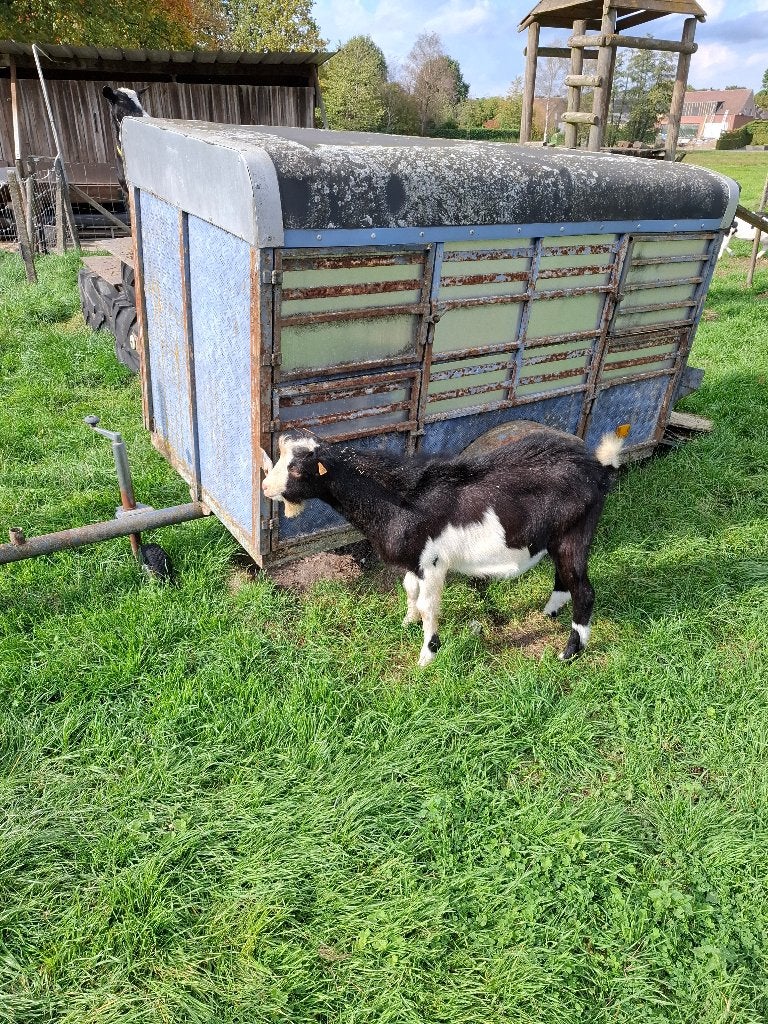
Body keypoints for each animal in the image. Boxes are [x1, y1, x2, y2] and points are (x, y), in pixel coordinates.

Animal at [261, 427, 626, 666]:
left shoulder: (433, 563)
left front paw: (427, 655)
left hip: (575, 536)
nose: (264, 487)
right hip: (560, 541)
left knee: (584, 591)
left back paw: (569, 652)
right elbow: (409, 590)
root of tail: (598, 469)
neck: (399, 499)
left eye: (298, 469)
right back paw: (549, 613)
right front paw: (406, 622)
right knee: (565, 579)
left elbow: (429, 606)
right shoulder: (414, 560)